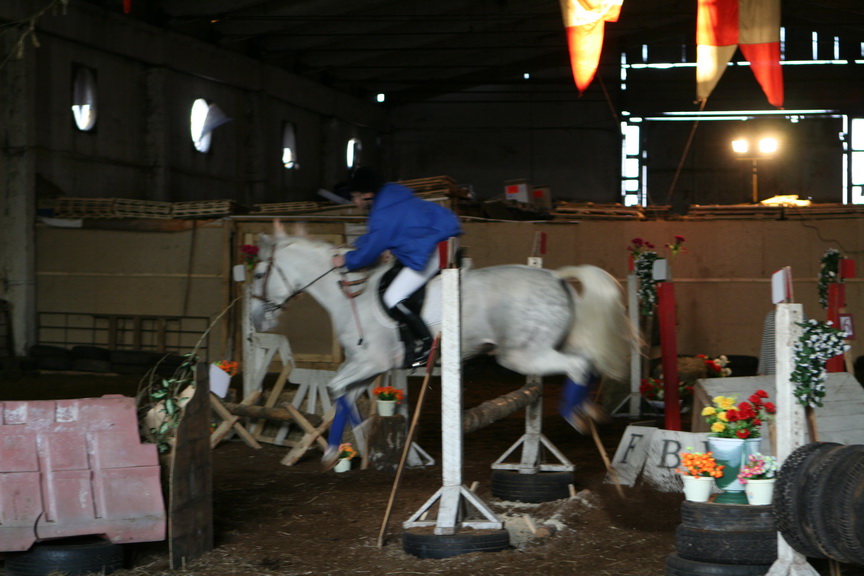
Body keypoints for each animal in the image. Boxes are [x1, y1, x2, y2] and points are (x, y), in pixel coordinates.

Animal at [250, 223, 634, 461]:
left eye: (258, 274)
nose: (256, 320)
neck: (349, 297)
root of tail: (555, 277)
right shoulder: (367, 368)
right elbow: (343, 394)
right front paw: (341, 448)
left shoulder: (370, 362)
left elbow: (336, 388)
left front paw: (354, 440)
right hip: (547, 346)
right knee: (587, 361)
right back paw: (591, 410)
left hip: (522, 355)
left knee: (578, 365)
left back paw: (575, 416)